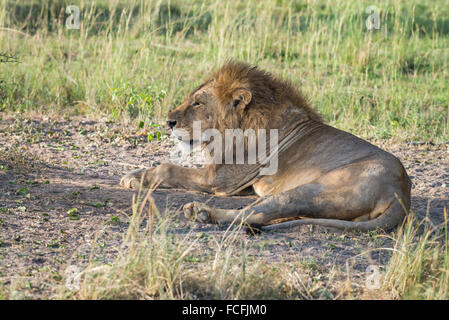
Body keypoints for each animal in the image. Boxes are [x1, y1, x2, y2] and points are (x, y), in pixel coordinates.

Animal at [119, 61, 410, 231]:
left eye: (197, 103)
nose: (169, 122)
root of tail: (400, 193)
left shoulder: (222, 179)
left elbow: (170, 168)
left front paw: (134, 176)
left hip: (311, 190)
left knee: (256, 214)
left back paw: (202, 212)